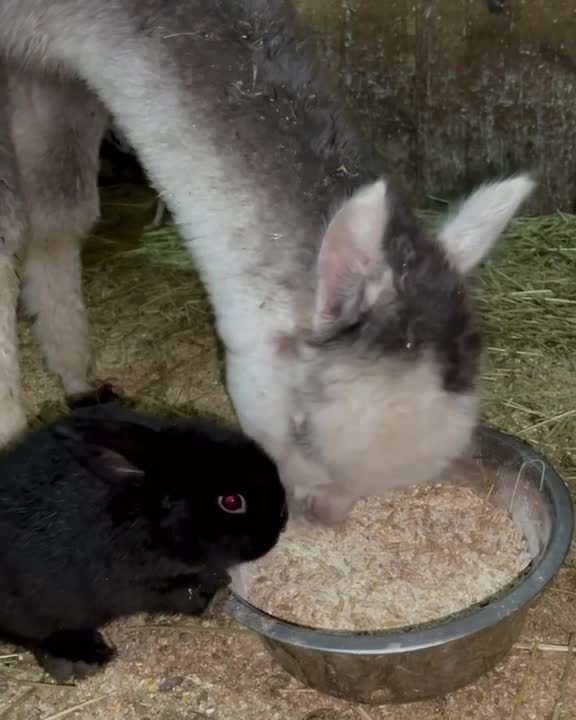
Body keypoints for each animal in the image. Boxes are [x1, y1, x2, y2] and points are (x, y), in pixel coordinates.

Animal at [0, 403, 288, 683]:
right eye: (231, 501)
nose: (282, 520)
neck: (148, 513)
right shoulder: (137, 584)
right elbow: (182, 594)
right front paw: (214, 593)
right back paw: (82, 660)